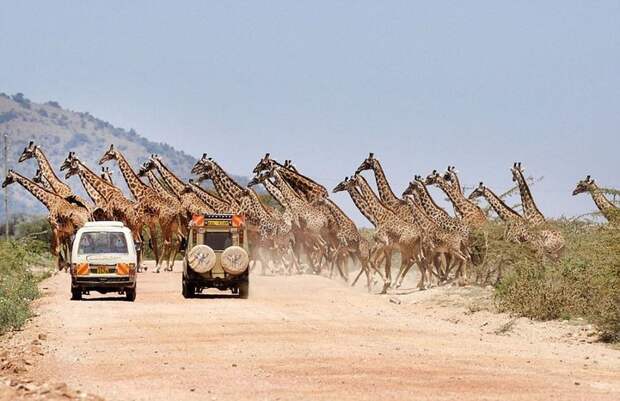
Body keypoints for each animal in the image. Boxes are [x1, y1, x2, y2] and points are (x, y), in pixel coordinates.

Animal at [99, 144, 180, 272]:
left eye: (108, 153)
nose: (100, 161)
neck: (140, 191)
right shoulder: (144, 223)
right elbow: (147, 242)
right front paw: (143, 266)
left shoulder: (145, 222)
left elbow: (146, 242)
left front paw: (144, 266)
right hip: (172, 224)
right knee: (175, 241)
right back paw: (166, 266)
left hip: (164, 223)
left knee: (168, 242)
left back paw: (158, 267)